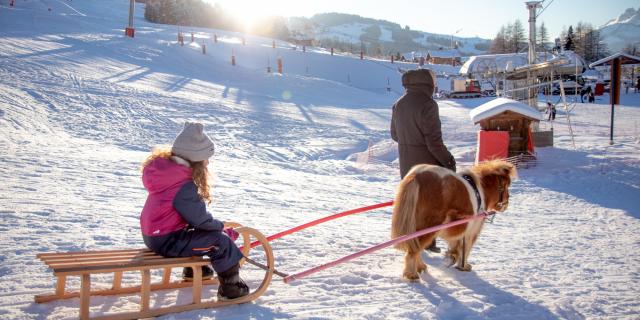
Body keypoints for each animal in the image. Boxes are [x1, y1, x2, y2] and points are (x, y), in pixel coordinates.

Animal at [388, 160, 516, 280]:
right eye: (506, 186)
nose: (506, 204)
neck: (480, 191)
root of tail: (416, 175)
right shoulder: (472, 231)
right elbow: (466, 248)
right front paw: (464, 266)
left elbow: (456, 245)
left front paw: (453, 257)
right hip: (428, 227)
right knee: (413, 251)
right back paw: (412, 274)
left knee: (416, 248)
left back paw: (421, 267)